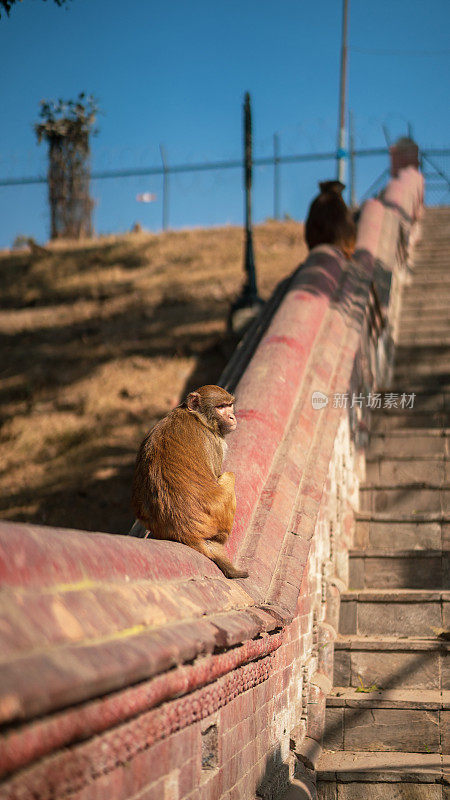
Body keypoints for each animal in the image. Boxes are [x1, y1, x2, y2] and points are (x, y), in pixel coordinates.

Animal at [130, 384, 250, 580]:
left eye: (229, 405)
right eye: (220, 407)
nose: (232, 417)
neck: (197, 417)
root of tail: (186, 532)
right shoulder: (214, 442)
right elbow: (218, 474)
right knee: (229, 476)